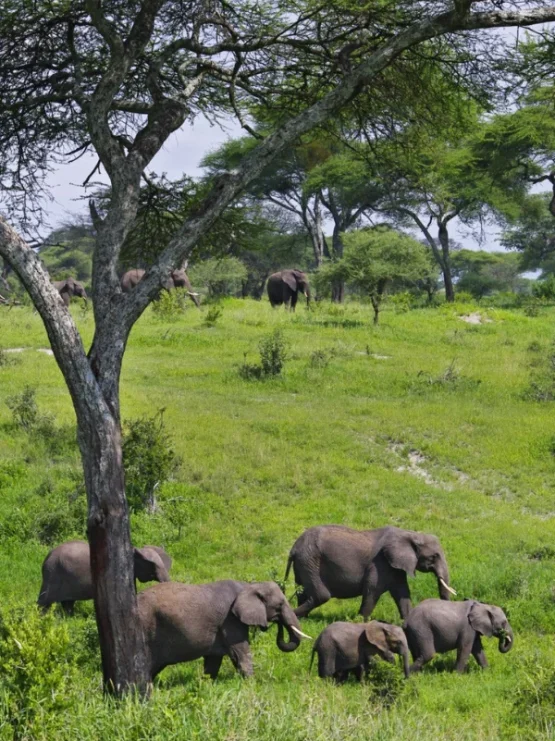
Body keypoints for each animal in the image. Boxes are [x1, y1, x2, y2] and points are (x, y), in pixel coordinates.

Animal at [136, 580, 310, 684]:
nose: (276, 623)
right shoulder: (230, 621)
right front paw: (252, 684)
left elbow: (213, 661)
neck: (249, 586)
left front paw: (206, 684)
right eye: (280, 605)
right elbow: (241, 653)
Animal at [286, 524, 456, 620]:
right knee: (321, 595)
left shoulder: (395, 566)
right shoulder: (379, 563)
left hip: (305, 563)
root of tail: (294, 548)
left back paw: (302, 619)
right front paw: (359, 622)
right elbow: (372, 590)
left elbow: (402, 593)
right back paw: (293, 615)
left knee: (303, 592)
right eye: (434, 557)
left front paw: (408, 622)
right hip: (310, 560)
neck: (410, 534)